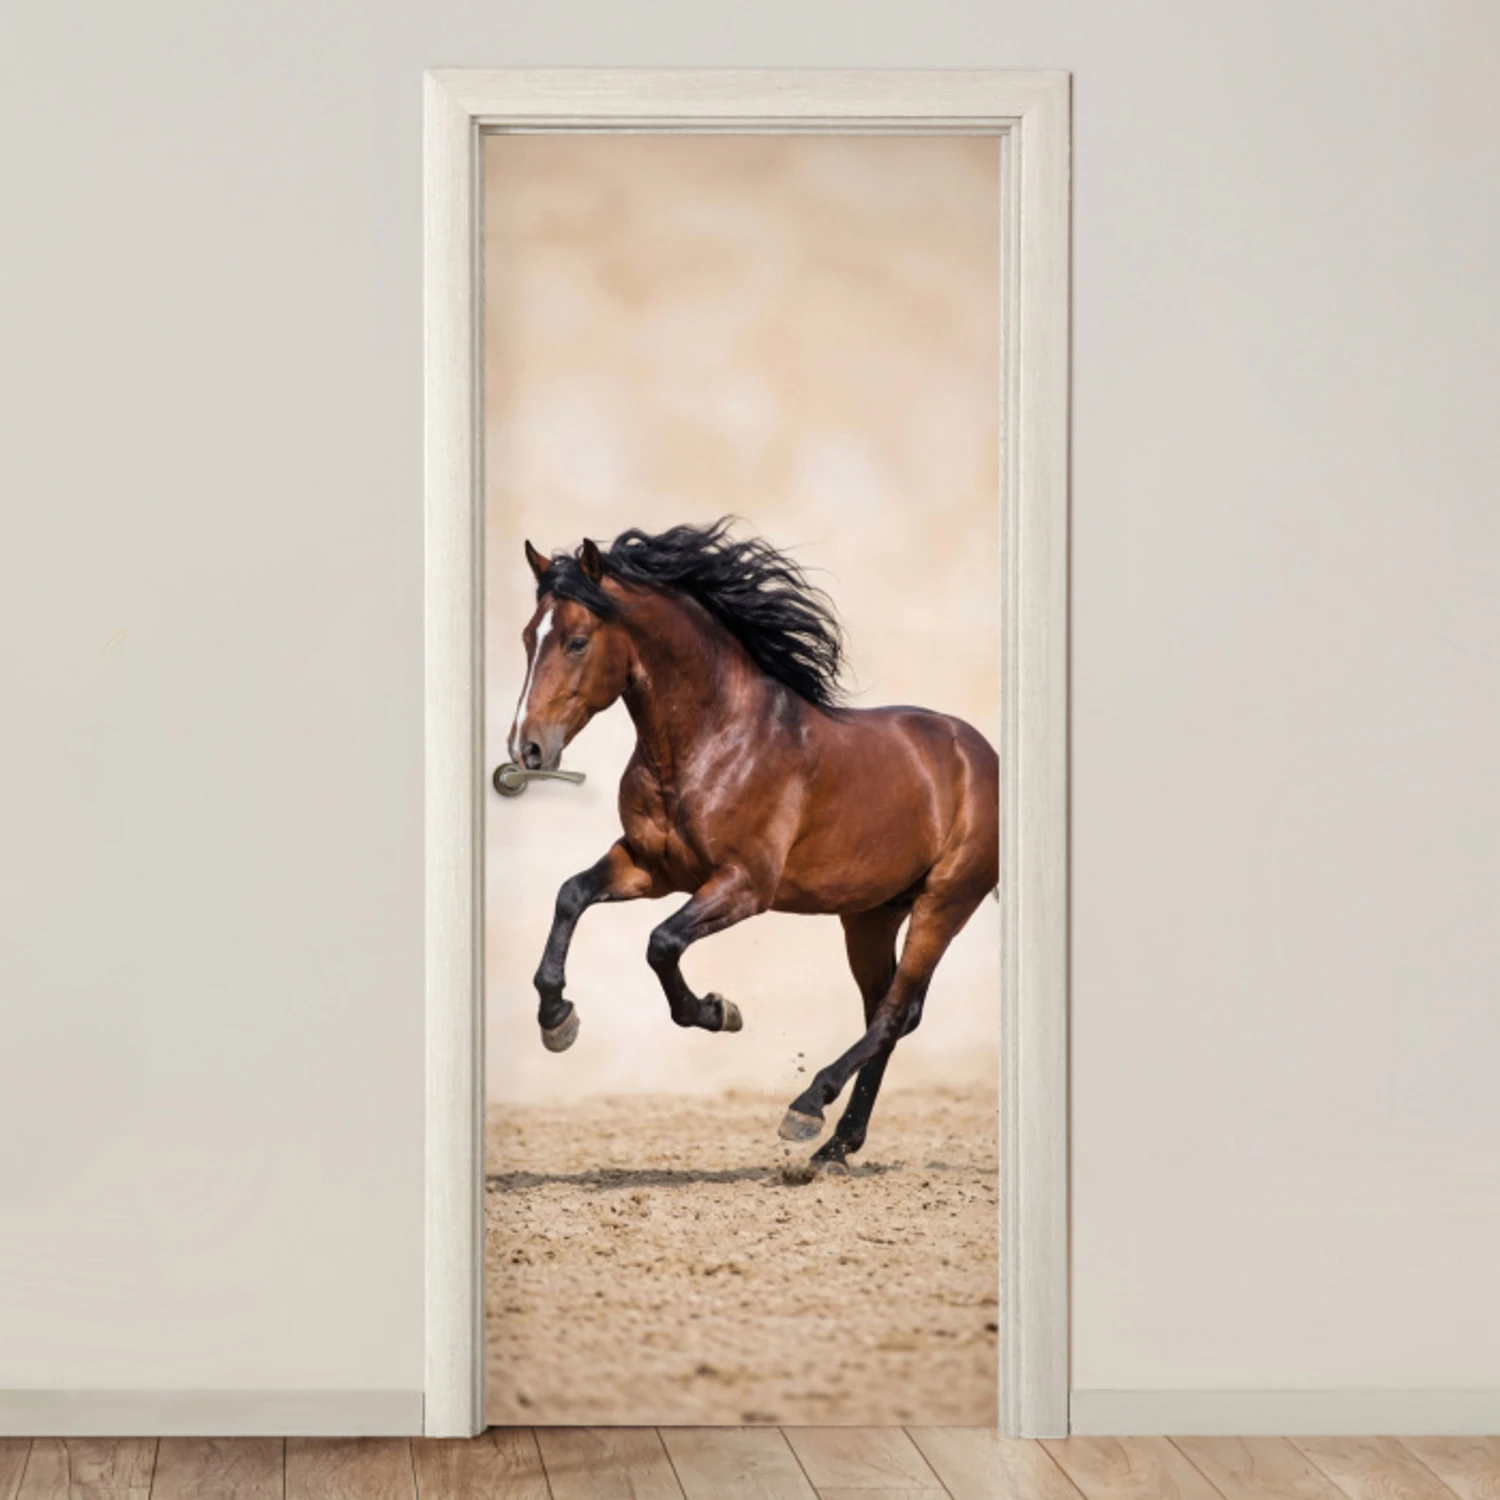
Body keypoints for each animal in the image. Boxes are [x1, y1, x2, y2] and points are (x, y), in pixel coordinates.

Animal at [507, 520, 999, 1171]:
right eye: (526, 637)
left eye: (578, 642)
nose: (527, 749)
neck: (714, 739)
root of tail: (983, 754)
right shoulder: (650, 868)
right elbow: (570, 895)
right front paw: (557, 1020)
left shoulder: (744, 885)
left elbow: (661, 943)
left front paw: (720, 1012)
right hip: (869, 914)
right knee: (888, 1012)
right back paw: (837, 1145)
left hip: (944, 903)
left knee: (896, 1012)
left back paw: (808, 1109)